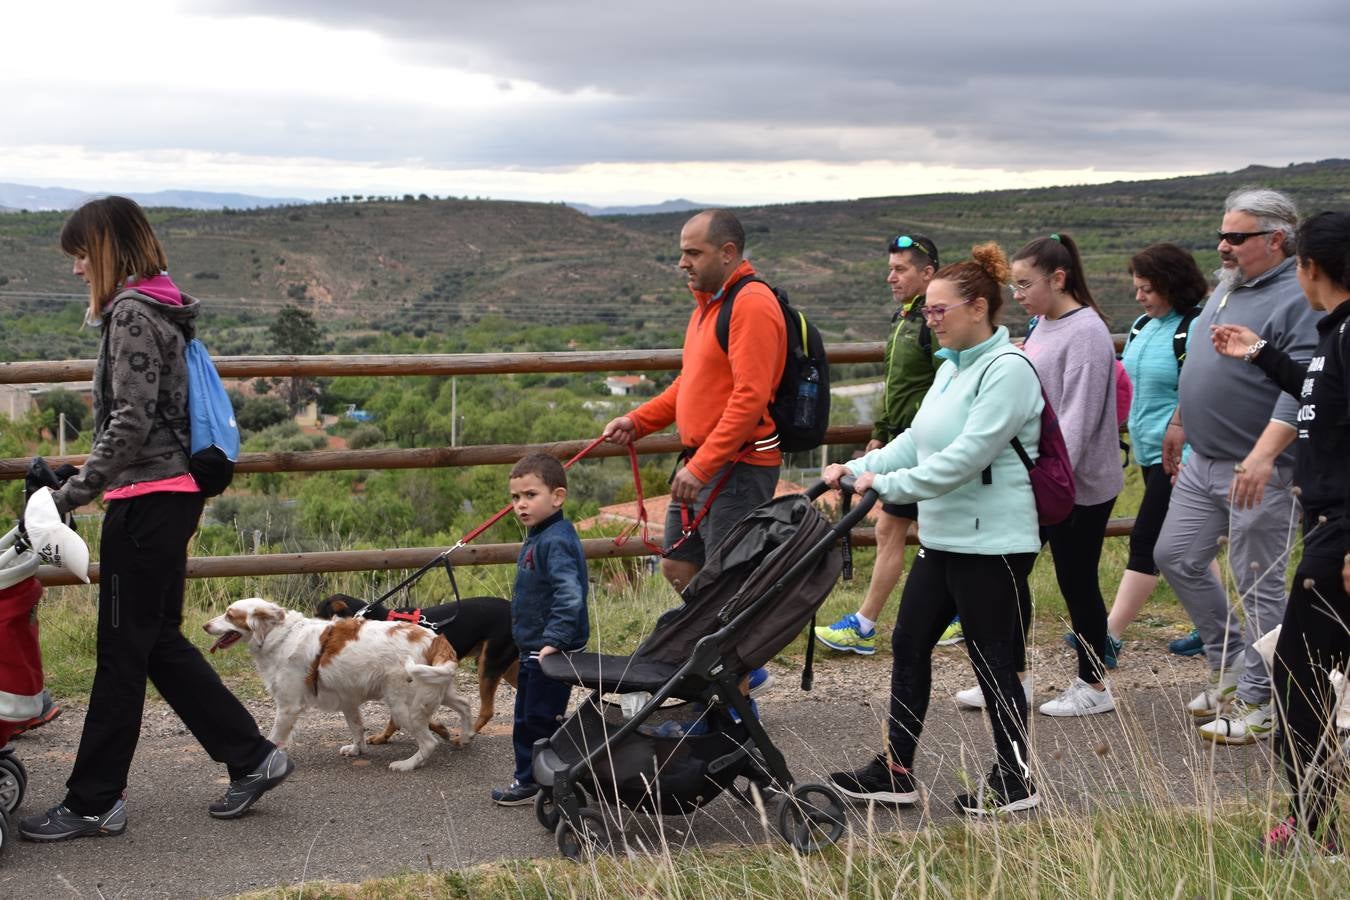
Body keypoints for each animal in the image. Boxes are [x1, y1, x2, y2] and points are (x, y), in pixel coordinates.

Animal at [202, 601, 472, 771]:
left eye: (229, 615)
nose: (205, 625)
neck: (280, 635)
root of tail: (434, 639)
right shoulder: (348, 700)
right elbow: (357, 728)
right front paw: (357, 750)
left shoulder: (288, 707)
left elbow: (274, 737)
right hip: (438, 690)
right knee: (465, 705)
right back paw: (466, 736)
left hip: (402, 707)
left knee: (429, 742)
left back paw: (407, 765)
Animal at [318, 591, 518, 739]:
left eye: (318, 616)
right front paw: (383, 737)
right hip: (507, 667)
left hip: (489, 663)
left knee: (487, 711)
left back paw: (465, 736)